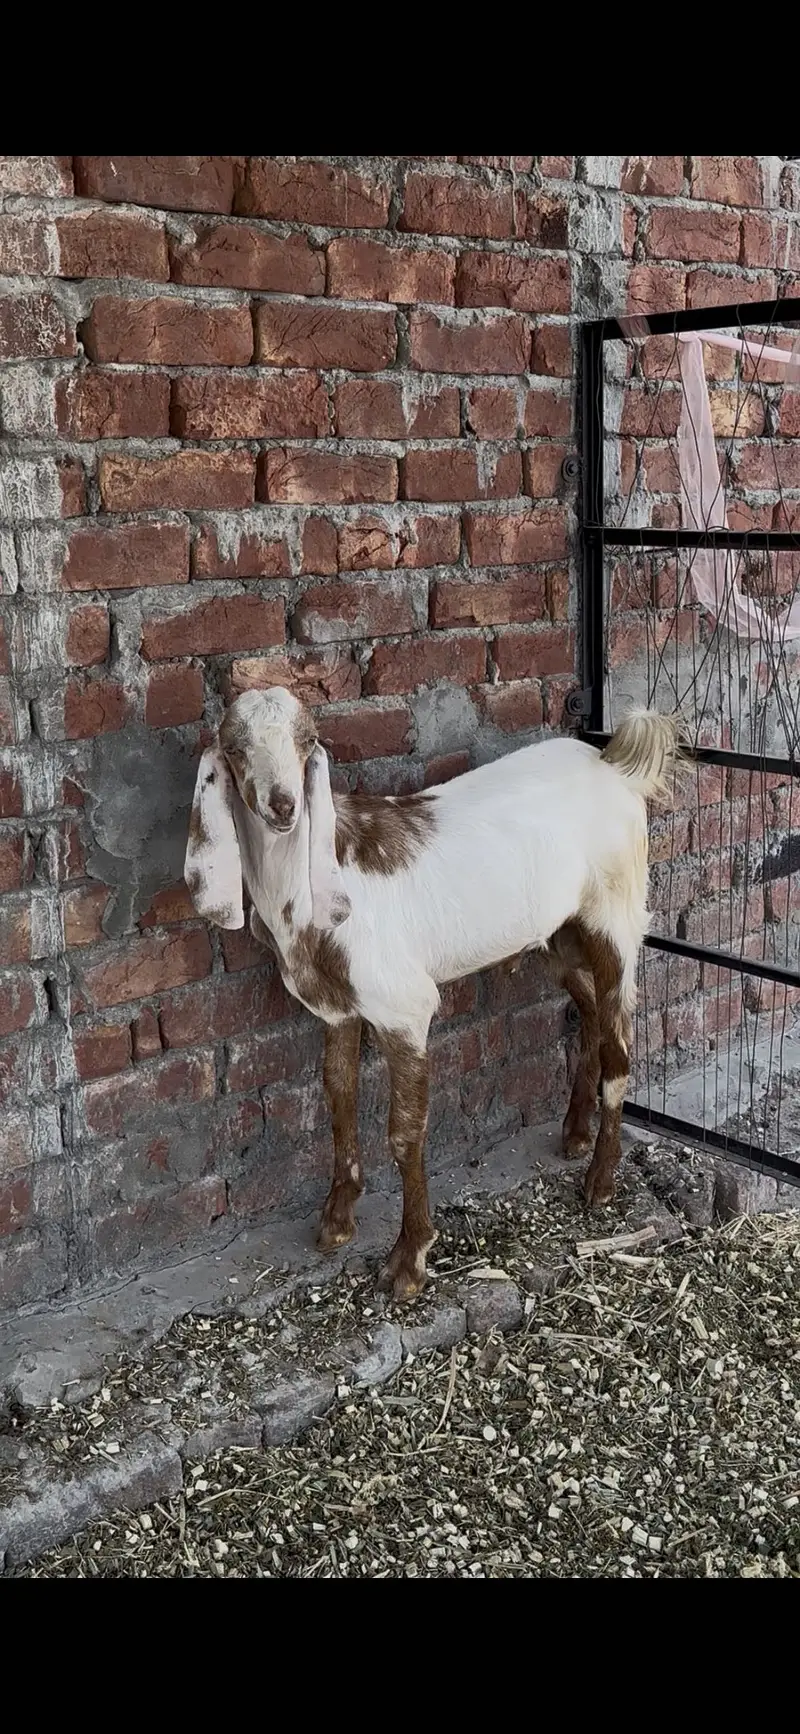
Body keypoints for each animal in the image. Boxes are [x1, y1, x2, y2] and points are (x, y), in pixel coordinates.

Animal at [185, 688, 680, 1301]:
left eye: (306, 741)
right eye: (233, 748)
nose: (283, 806)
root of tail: (613, 764)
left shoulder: (404, 1008)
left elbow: (404, 1132)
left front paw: (409, 1260)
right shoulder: (337, 1007)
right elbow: (338, 1099)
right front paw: (337, 1219)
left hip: (615, 913)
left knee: (620, 1045)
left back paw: (601, 1182)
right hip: (558, 934)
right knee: (589, 1013)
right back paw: (575, 1133)